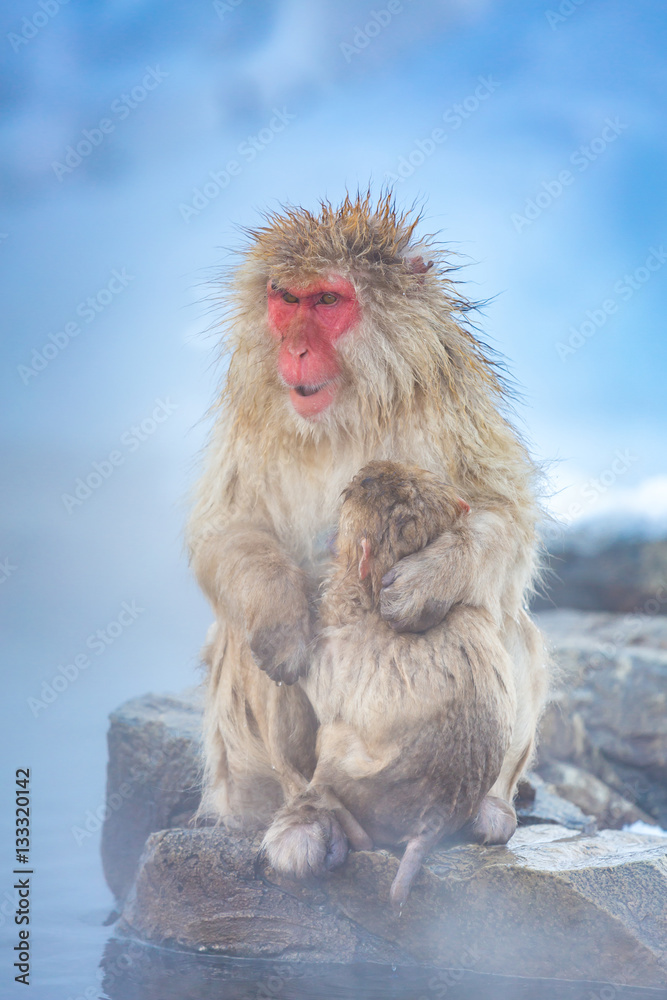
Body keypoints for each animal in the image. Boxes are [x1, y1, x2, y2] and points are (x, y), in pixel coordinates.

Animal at [187, 192, 548, 858]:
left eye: (328, 302)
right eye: (286, 298)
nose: (295, 349)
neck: (345, 411)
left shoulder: (448, 403)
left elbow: (504, 517)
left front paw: (427, 580)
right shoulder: (252, 414)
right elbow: (228, 529)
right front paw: (281, 612)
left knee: (494, 610)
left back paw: (486, 807)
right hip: (243, 780)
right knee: (249, 637)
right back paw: (307, 816)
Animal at [262, 461, 518, 909]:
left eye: (358, 488)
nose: (360, 472)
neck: (368, 593)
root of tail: (436, 817)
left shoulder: (334, 630)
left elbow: (315, 683)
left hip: (358, 778)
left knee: (333, 740)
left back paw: (333, 818)